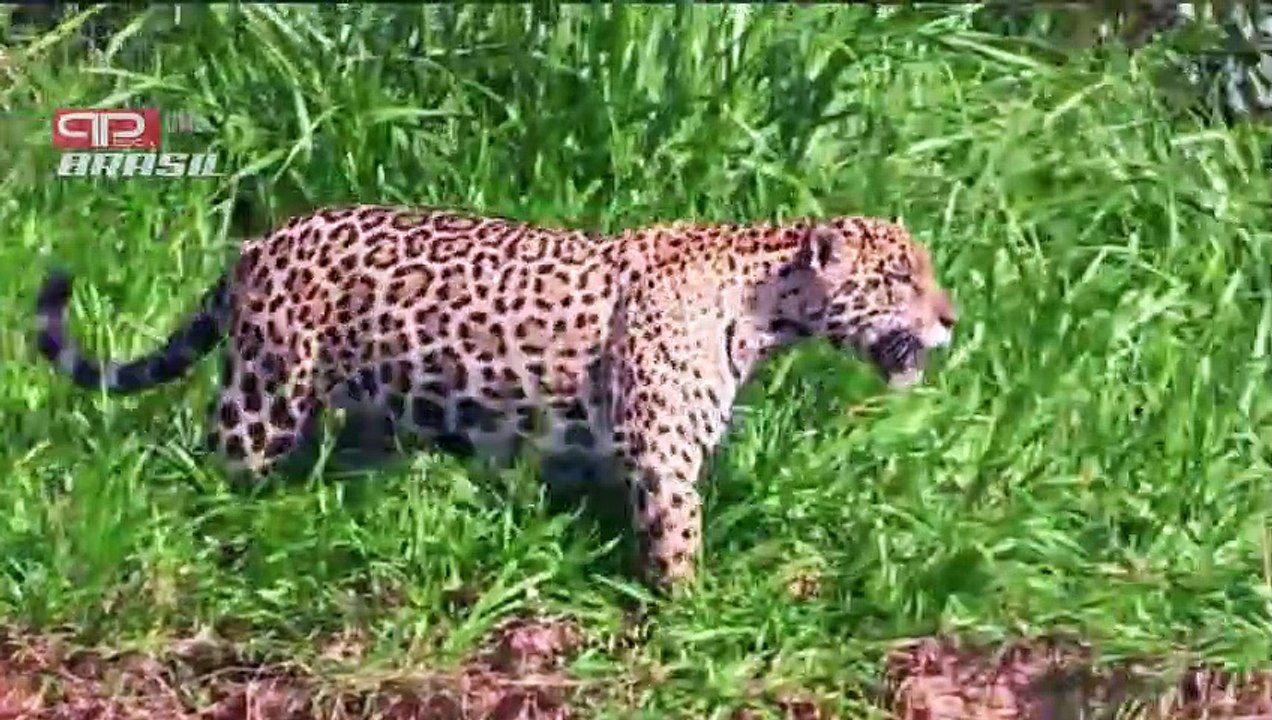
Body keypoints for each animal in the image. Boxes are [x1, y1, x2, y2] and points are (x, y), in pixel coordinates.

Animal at [34, 204, 958, 591]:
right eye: (899, 278)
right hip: (264, 395)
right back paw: (228, 532)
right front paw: (692, 615)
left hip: (372, 407)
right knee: (216, 469)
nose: (952, 317)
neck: (765, 303)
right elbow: (678, 541)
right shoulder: (663, 452)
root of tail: (255, 244)